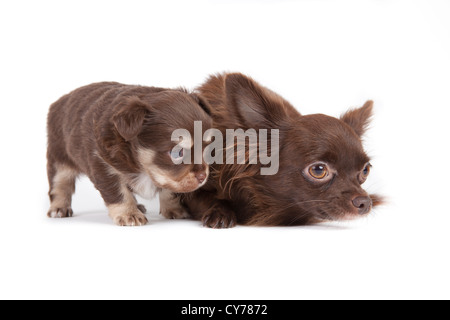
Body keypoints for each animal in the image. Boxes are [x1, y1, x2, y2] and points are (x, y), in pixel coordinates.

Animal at [46, 84, 212, 226]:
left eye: (206, 149)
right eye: (178, 153)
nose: (203, 176)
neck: (143, 168)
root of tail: (59, 101)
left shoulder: (167, 176)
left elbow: (169, 189)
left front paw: (173, 209)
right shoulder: (104, 167)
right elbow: (119, 193)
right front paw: (129, 214)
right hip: (59, 158)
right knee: (59, 184)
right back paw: (58, 209)